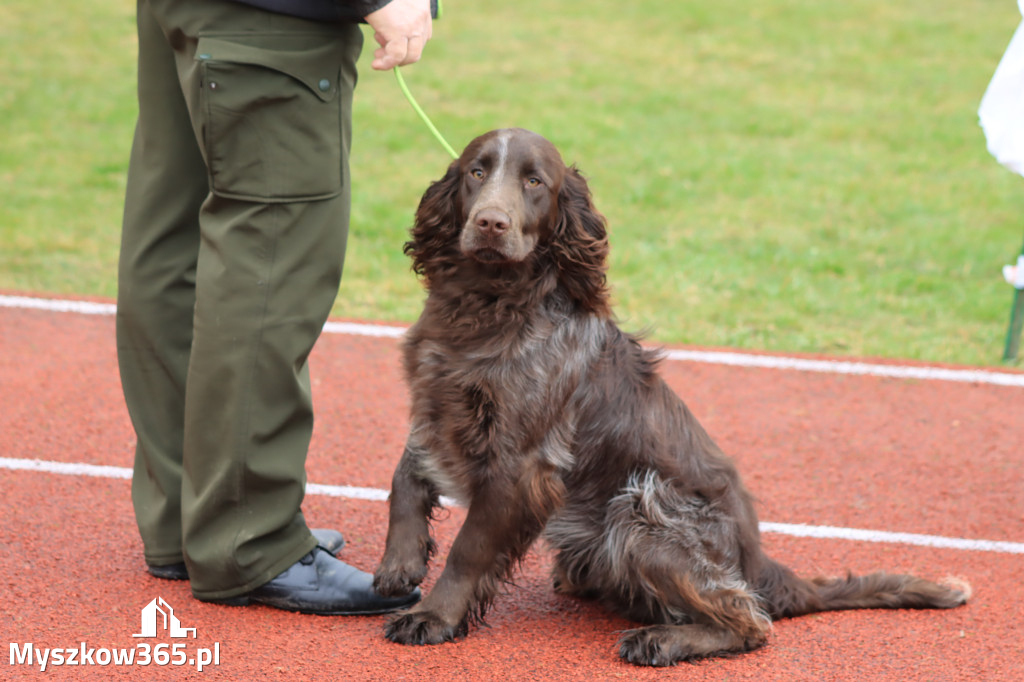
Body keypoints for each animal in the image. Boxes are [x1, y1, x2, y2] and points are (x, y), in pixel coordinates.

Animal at [374, 129, 966, 663]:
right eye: (477, 171)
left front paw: (433, 616)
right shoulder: (436, 404)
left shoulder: (522, 462)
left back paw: (663, 639)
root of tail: (759, 564)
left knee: (751, 621)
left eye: (535, 181)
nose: (490, 223)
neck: (488, 305)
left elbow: (468, 549)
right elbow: (404, 475)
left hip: (640, 507)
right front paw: (399, 563)